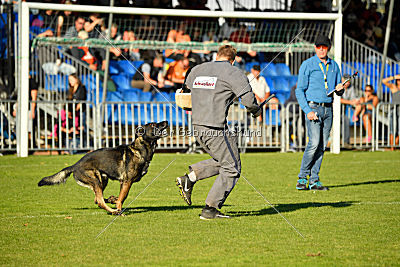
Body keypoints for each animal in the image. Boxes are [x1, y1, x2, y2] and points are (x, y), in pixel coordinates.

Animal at [38, 121, 168, 216]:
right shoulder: (127, 182)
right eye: (153, 125)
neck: (140, 150)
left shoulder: (123, 183)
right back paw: (114, 211)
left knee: (97, 199)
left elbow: (120, 197)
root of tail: (75, 165)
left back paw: (111, 201)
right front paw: (119, 208)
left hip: (103, 180)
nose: (166, 121)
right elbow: (123, 197)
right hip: (96, 180)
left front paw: (114, 200)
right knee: (99, 201)